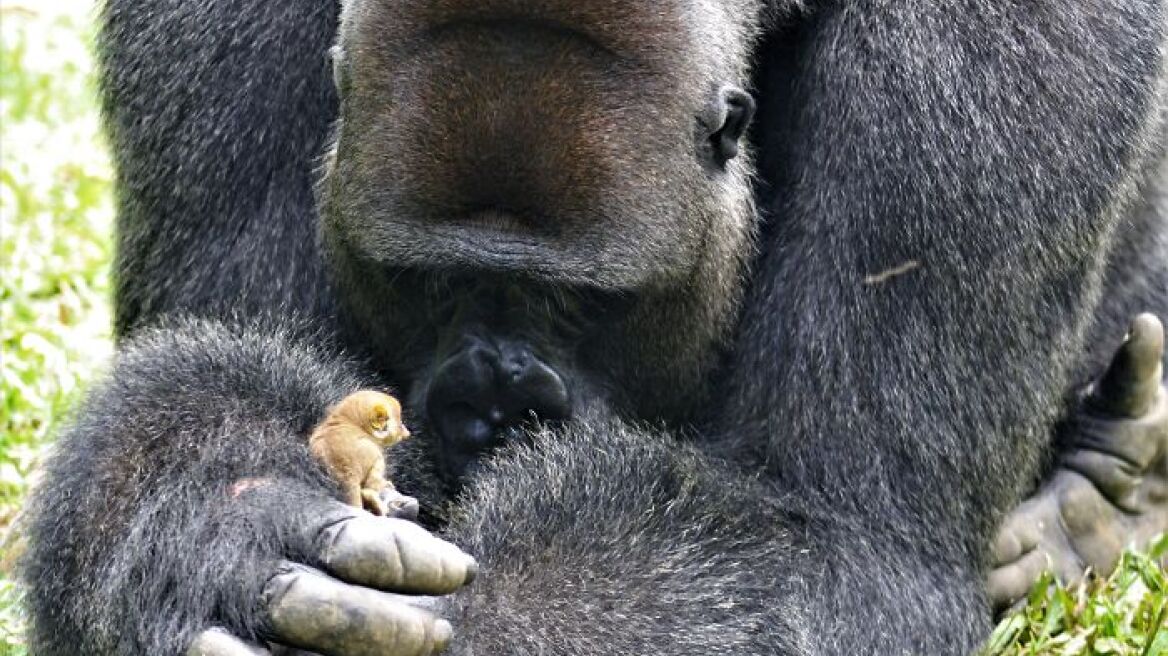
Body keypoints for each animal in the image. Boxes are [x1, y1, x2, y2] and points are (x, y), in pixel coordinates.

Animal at [18, 1, 1168, 653]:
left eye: (583, 303)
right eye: (429, 284)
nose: (493, 409)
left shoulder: (1001, 48)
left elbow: (835, 533)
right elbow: (225, 358)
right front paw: (212, 512)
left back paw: (1102, 491)